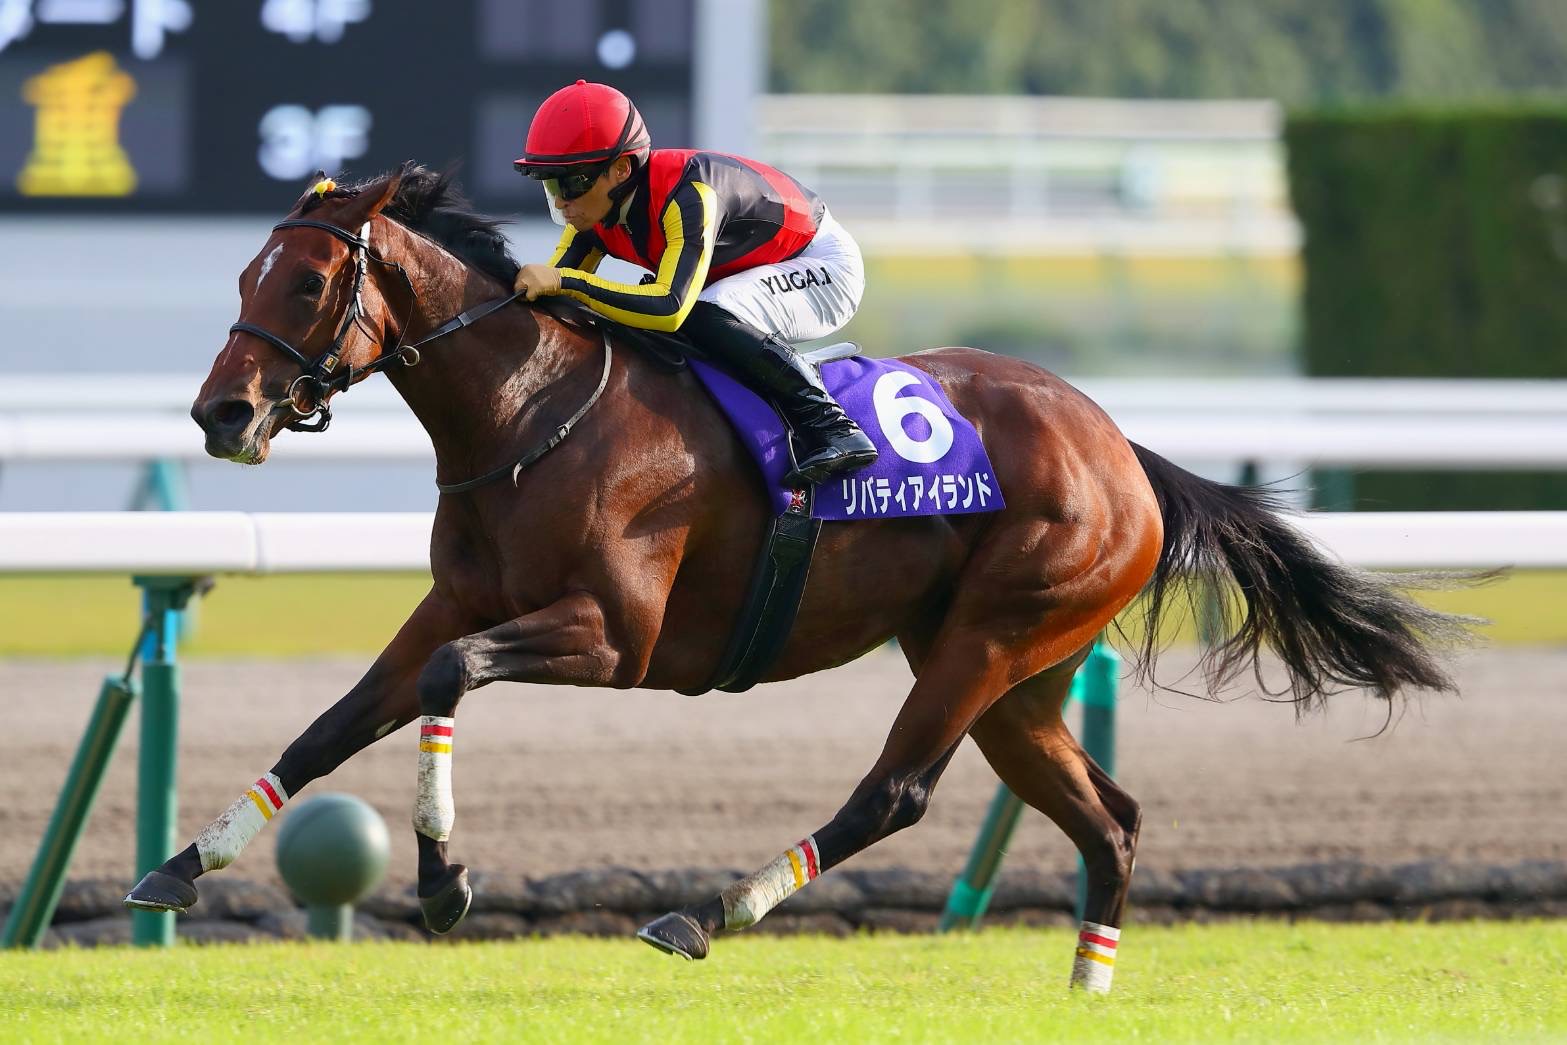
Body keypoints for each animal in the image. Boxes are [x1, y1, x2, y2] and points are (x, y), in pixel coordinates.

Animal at [126, 165, 1470, 991]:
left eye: (308, 281)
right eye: (244, 278)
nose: (220, 413)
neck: (531, 410)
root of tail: (1121, 447)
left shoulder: (612, 637)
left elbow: (451, 680)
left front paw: (446, 879)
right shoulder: (455, 600)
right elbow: (335, 721)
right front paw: (185, 865)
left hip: (990, 638)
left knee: (898, 792)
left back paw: (712, 909)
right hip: (1018, 675)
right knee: (1110, 816)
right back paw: (1088, 981)